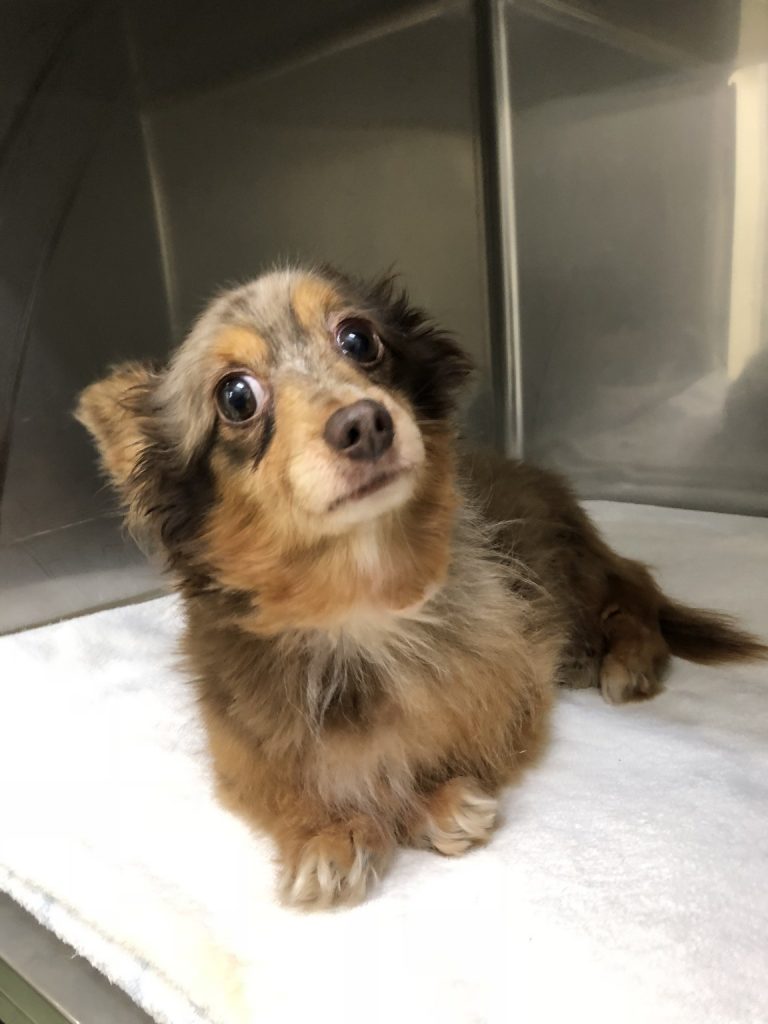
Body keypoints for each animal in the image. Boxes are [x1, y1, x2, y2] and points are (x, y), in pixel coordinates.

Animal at [76, 266, 766, 909]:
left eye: (359, 338)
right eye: (236, 397)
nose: (364, 422)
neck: (361, 600)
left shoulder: (511, 704)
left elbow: (423, 763)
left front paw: (432, 805)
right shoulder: (242, 752)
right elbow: (292, 788)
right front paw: (327, 835)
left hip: (573, 572)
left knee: (634, 589)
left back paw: (627, 659)